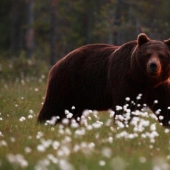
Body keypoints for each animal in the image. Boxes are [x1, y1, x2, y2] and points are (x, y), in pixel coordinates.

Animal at [37, 32, 170, 126]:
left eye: (161, 55)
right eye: (148, 54)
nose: (153, 65)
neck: (145, 80)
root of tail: (58, 63)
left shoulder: (160, 86)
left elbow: (165, 104)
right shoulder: (126, 80)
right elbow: (127, 105)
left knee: (73, 112)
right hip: (68, 82)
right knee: (55, 105)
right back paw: (43, 123)